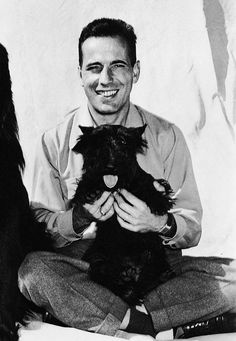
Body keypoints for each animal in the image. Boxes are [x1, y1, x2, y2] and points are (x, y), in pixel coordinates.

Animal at [72, 123, 175, 304]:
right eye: (99, 142)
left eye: (122, 141)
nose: (110, 166)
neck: (116, 185)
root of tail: (131, 270)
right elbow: (85, 181)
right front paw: (89, 191)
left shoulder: (146, 181)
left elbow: (150, 185)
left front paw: (159, 203)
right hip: (97, 257)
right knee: (108, 279)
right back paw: (126, 287)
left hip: (154, 254)